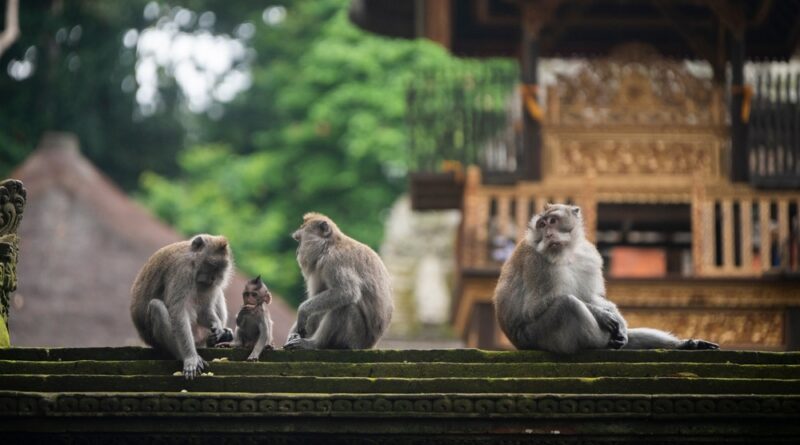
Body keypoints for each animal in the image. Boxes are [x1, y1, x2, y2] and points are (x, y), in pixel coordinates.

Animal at [130, 234, 234, 379]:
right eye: (212, 264)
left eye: (220, 269)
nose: (213, 278)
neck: (193, 261)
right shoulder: (182, 270)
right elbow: (178, 312)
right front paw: (190, 358)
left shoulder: (206, 284)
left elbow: (203, 310)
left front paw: (217, 326)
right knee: (157, 307)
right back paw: (183, 356)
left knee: (217, 292)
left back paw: (220, 338)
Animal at [283, 212, 393, 350]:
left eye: (300, 240)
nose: (297, 251)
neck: (330, 245)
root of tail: (371, 345)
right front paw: (293, 332)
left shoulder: (335, 261)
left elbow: (346, 292)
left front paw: (302, 310)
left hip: (356, 339)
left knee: (345, 305)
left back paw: (315, 343)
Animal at [493, 203, 719, 354]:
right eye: (541, 225)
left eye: (552, 221)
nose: (548, 235)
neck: (567, 253)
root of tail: (517, 344)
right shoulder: (536, 262)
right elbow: (536, 307)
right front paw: (601, 315)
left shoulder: (588, 255)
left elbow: (591, 296)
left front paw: (616, 317)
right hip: (536, 337)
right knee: (567, 305)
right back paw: (605, 343)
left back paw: (682, 344)